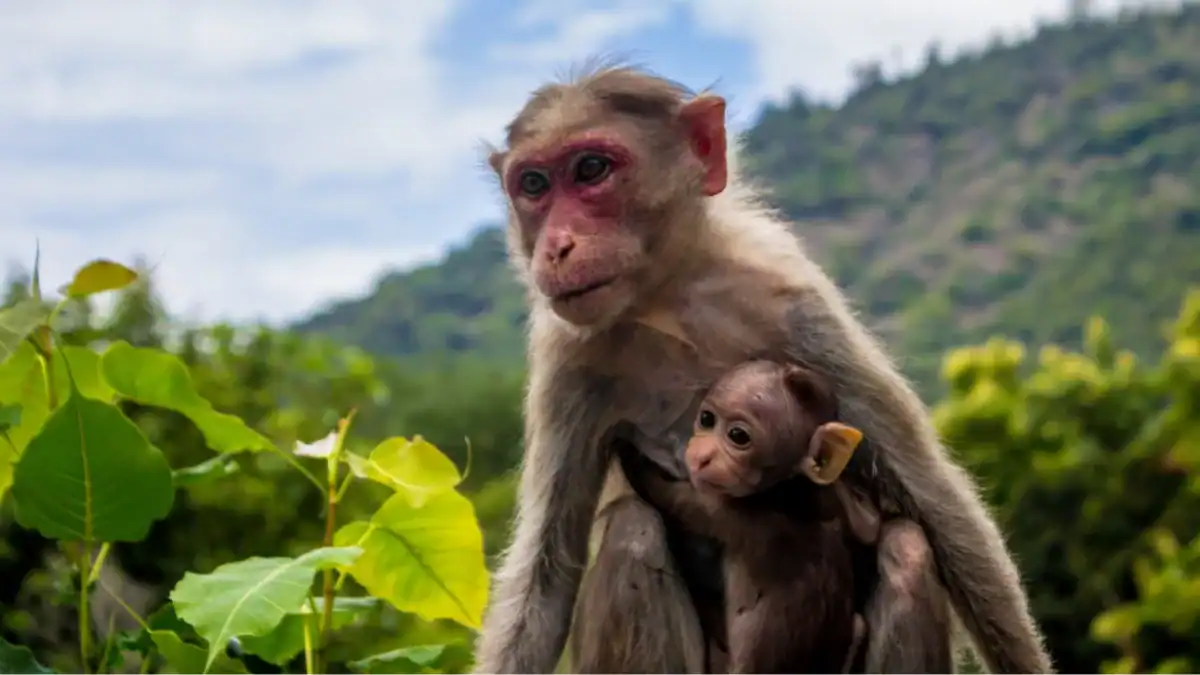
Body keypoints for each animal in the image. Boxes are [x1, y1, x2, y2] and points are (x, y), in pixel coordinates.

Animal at [617, 358, 881, 673]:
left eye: (738, 436)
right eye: (707, 419)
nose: (701, 457)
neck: (785, 492)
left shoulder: (729, 511)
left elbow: (664, 493)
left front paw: (626, 447)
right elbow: (869, 526)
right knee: (859, 626)